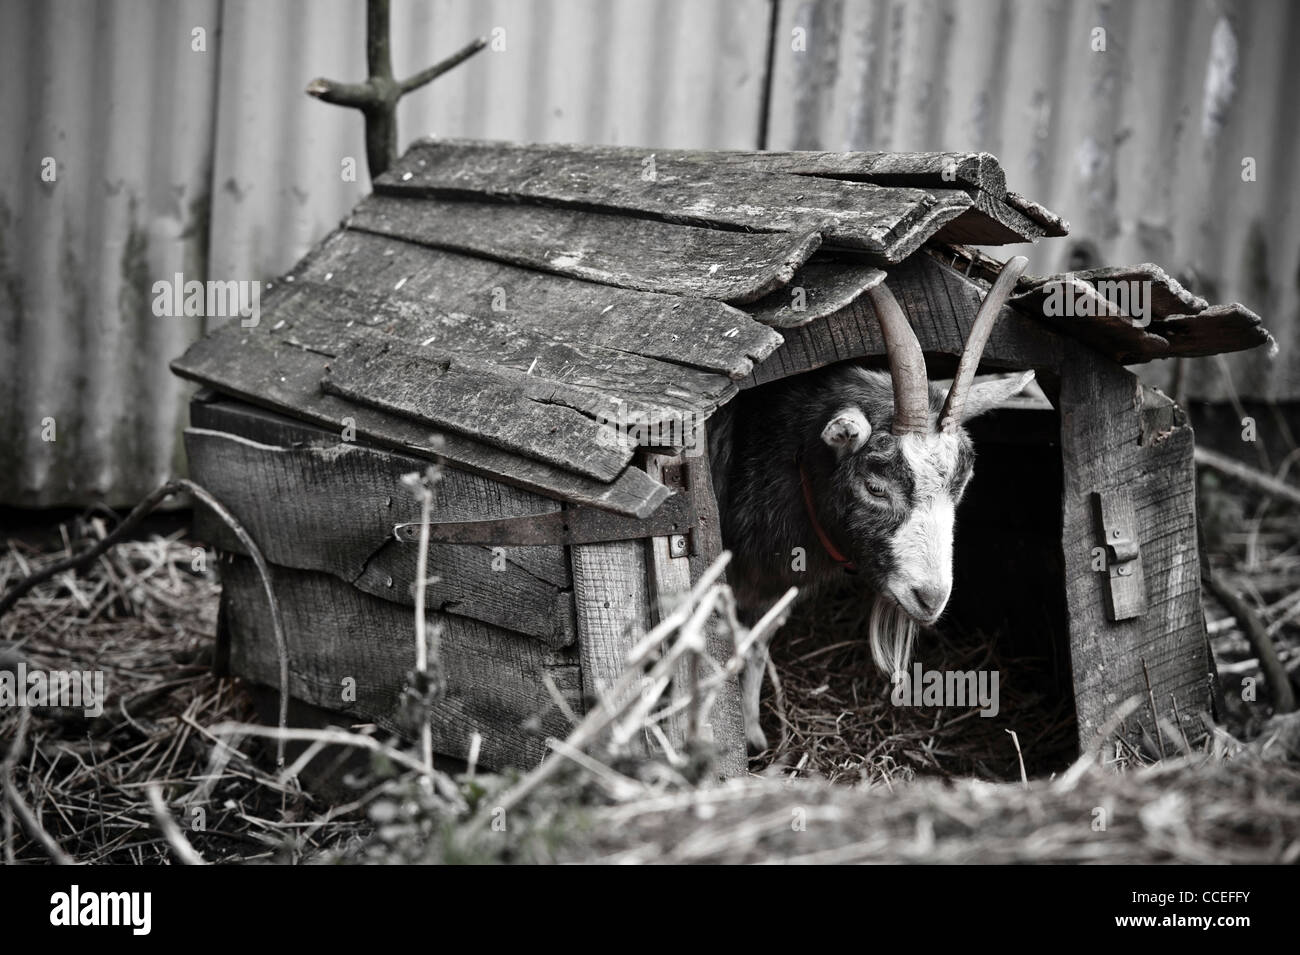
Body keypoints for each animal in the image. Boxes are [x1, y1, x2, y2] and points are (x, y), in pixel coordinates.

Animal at [709, 257, 1033, 751]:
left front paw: (753, 735)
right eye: (876, 487)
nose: (930, 598)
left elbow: (757, 645)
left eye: (963, 484)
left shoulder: (773, 590)